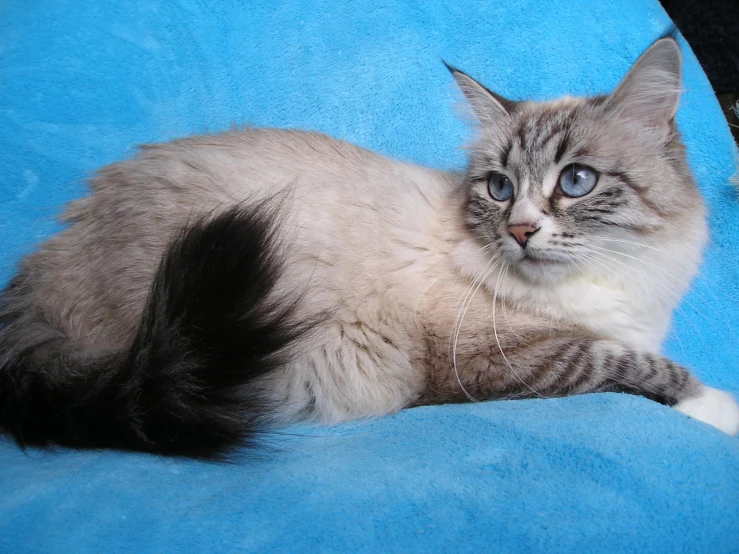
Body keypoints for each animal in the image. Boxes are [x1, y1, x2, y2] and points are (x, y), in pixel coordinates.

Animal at [0, 36, 736, 454]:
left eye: (575, 182)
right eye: (499, 189)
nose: (521, 230)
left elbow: (644, 359)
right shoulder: (509, 361)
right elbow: (643, 368)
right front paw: (722, 410)